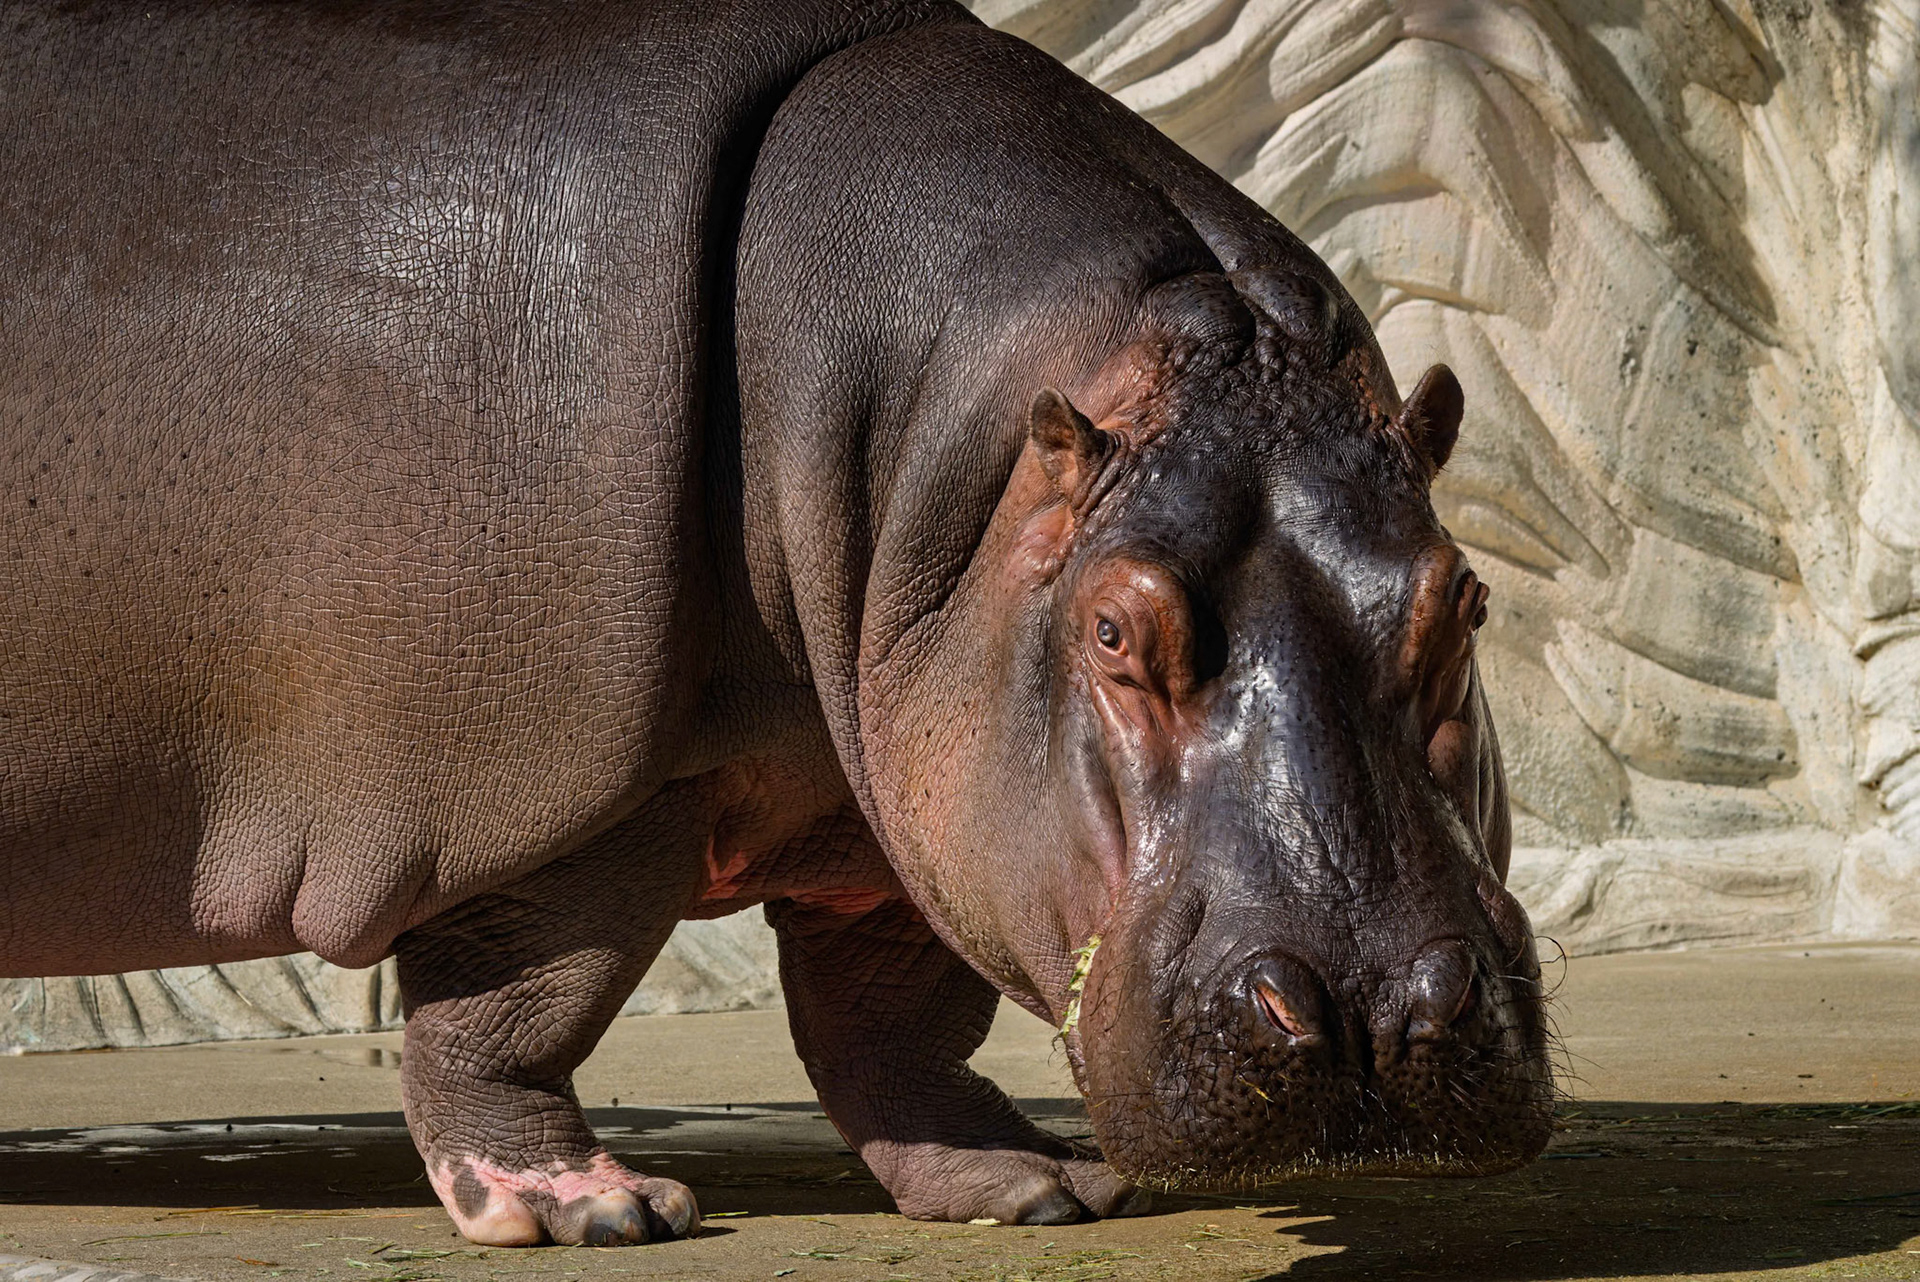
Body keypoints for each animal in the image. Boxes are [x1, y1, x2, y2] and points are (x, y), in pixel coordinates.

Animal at [0, 0, 1552, 1248]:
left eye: (1464, 599)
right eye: (1114, 633)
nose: (1371, 1020)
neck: (947, 445)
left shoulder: (894, 792)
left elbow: (893, 1013)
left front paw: (1036, 1188)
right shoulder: (557, 782)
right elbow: (521, 1000)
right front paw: (593, 1212)